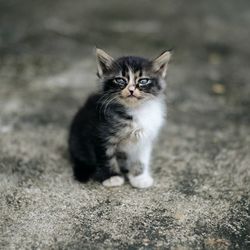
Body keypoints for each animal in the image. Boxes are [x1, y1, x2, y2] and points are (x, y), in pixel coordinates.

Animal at [68, 48, 171, 188]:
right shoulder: (101, 135)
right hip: (77, 140)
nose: (131, 90)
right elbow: (106, 158)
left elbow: (140, 159)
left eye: (143, 81)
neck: (136, 110)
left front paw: (139, 178)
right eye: (120, 80)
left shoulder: (144, 139)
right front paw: (112, 178)